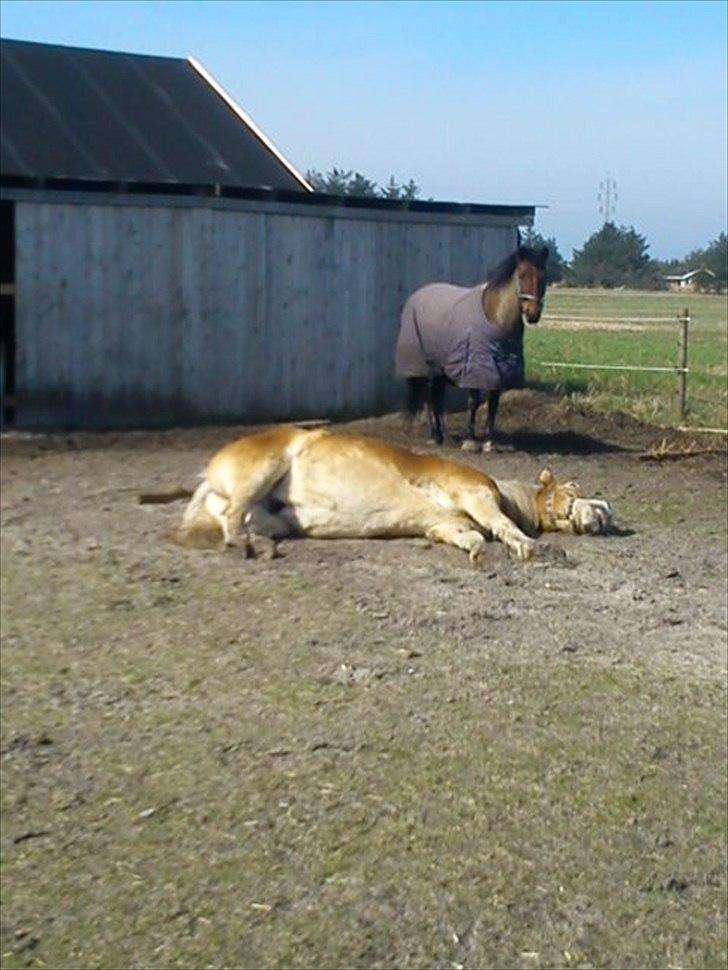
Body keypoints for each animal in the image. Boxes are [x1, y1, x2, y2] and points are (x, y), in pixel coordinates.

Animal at [166, 422, 616, 564]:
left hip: (271, 517)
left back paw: (261, 547)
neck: (509, 493)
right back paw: (242, 546)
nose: (608, 511)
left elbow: (467, 534)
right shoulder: (474, 493)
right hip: (263, 465)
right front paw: (526, 545)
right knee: (233, 516)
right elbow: (500, 524)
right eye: (574, 486)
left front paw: (475, 550)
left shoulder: (443, 524)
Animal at [396, 246, 548, 450]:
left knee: (437, 399)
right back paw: (434, 435)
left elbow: (493, 405)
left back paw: (444, 435)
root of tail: (417, 295)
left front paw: (490, 441)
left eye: (543, 277)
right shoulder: (475, 367)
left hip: (441, 366)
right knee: (429, 397)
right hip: (426, 364)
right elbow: (473, 402)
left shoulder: (498, 370)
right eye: (522, 275)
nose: (533, 314)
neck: (495, 317)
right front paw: (470, 439)